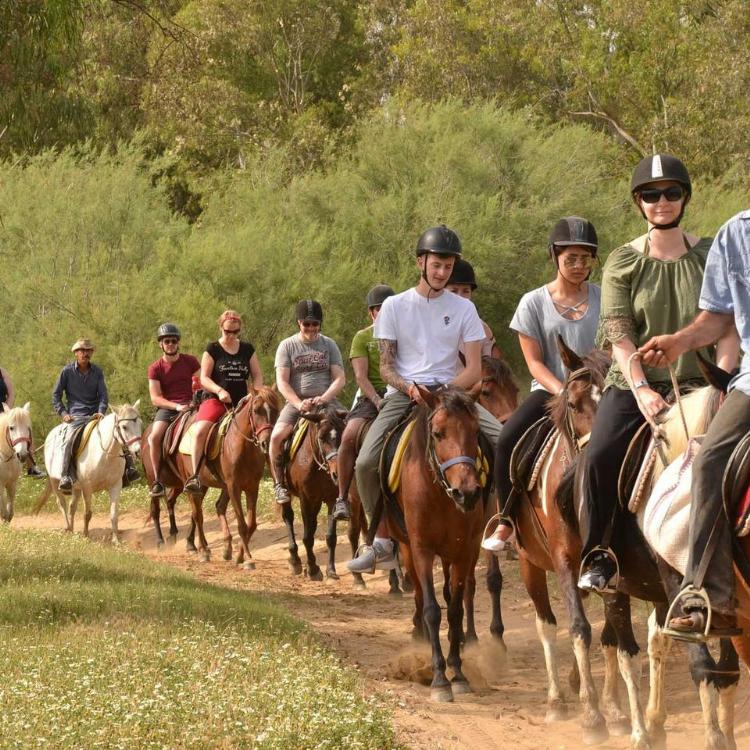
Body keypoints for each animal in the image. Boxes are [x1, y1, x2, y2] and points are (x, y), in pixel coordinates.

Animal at [37, 402, 144, 544]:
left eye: (140, 424)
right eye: (124, 427)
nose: (138, 451)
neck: (105, 454)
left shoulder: (115, 485)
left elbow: (114, 514)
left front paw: (116, 540)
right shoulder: (87, 487)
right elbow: (87, 514)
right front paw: (86, 536)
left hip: (75, 487)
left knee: (72, 507)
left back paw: (72, 530)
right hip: (55, 483)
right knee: (62, 505)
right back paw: (68, 528)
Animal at [142, 384, 280, 568]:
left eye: (276, 409)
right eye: (256, 410)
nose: (267, 442)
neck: (242, 446)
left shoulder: (252, 487)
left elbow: (251, 524)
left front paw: (240, 556)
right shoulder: (233, 487)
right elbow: (242, 525)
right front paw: (248, 560)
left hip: (200, 485)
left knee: (204, 507)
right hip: (165, 481)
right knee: (186, 514)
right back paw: (192, 549)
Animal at [284, 406, 348, 580]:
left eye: (343, 434)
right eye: (321, 437)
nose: (338, 474)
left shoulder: (331, 499)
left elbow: (331, 537)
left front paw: (331, 571)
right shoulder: (306, 500)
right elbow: (307, 538)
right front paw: (312, 569)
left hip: (317, 501)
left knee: (312, 525)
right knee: (288, 518)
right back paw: (295, 560)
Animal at [384, 388, 490, 704]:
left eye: (476, 432)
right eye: (438, 433)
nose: (466, 493)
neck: (441, 495)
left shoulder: (464, 550)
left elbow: (454, 609)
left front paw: (458, 673)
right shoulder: (422, 549)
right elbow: (432, 609)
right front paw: (440, 679)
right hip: (407, 547)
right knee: (420, 594)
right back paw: (418, 634)